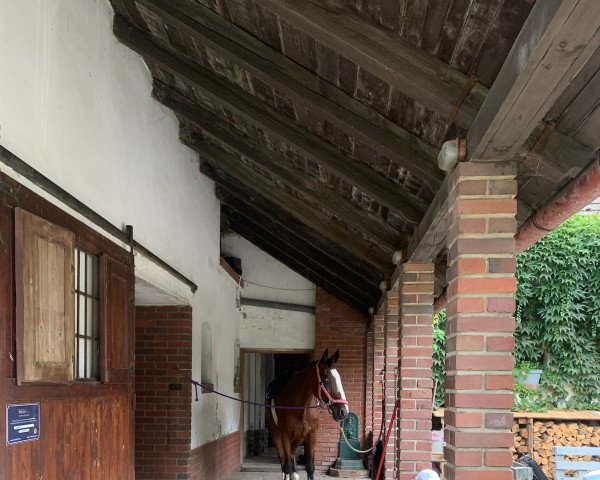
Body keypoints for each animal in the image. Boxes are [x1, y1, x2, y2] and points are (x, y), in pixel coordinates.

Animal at [266, 348, 350, 480]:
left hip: (298, 438)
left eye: (339, 378)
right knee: (283, 461)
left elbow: (310, 468)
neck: (300, 407)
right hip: (276, 434)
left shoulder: (312, 435)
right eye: (326, 379)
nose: (343, 411)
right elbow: (287, 466)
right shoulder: (285, 436)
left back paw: (295, 473)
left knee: (292, 454)